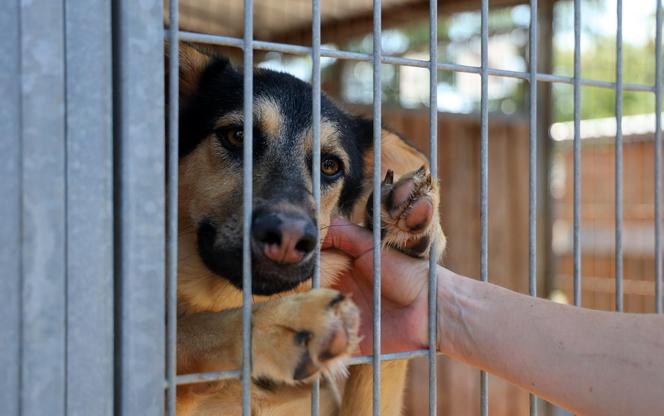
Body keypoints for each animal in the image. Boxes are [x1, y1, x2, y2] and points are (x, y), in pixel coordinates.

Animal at [171, 44, 446, 414]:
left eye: (329, 166)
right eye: (236, 136)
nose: (289, 237)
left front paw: (409, 221)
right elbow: (186, 332)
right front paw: (281, 325)